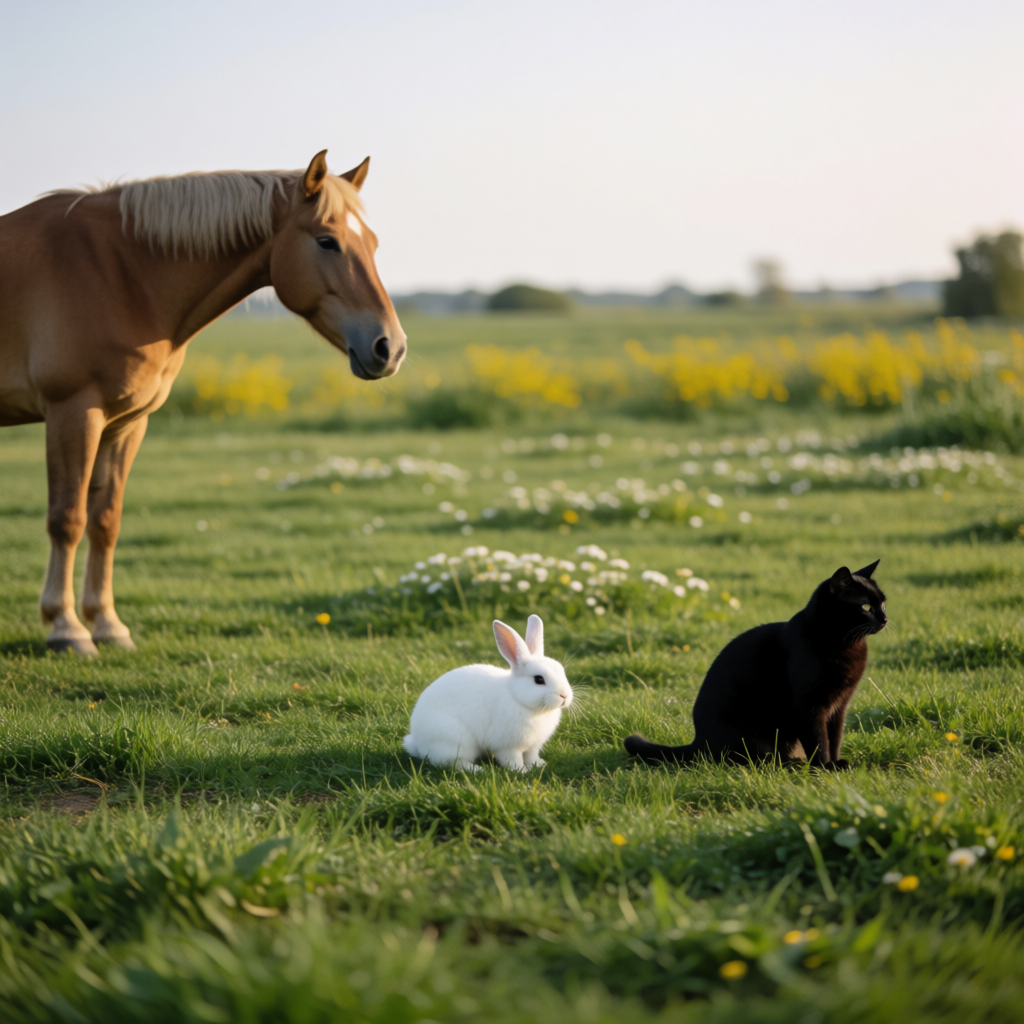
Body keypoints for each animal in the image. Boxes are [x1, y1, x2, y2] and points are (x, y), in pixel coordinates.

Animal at [0, 150, 406, 655]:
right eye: (327, 241)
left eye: (372, 242)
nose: (391, 347)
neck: (118, 274)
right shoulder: (72, 412)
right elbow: (67, 519)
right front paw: (66, 627)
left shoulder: (124, 423)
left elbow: (105, 521)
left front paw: (108, 625)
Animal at [403, 614, 572, 771]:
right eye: (539, 679)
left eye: (562, 671)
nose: (564, 696)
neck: (517, 697)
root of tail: (417, 742)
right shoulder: (508, 746)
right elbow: (512, 759)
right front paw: (521, 771)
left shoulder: (533, 746)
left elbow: (531, 756)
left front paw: (540, 765)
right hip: (455, 741)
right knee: (453, 762)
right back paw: (476, 769)